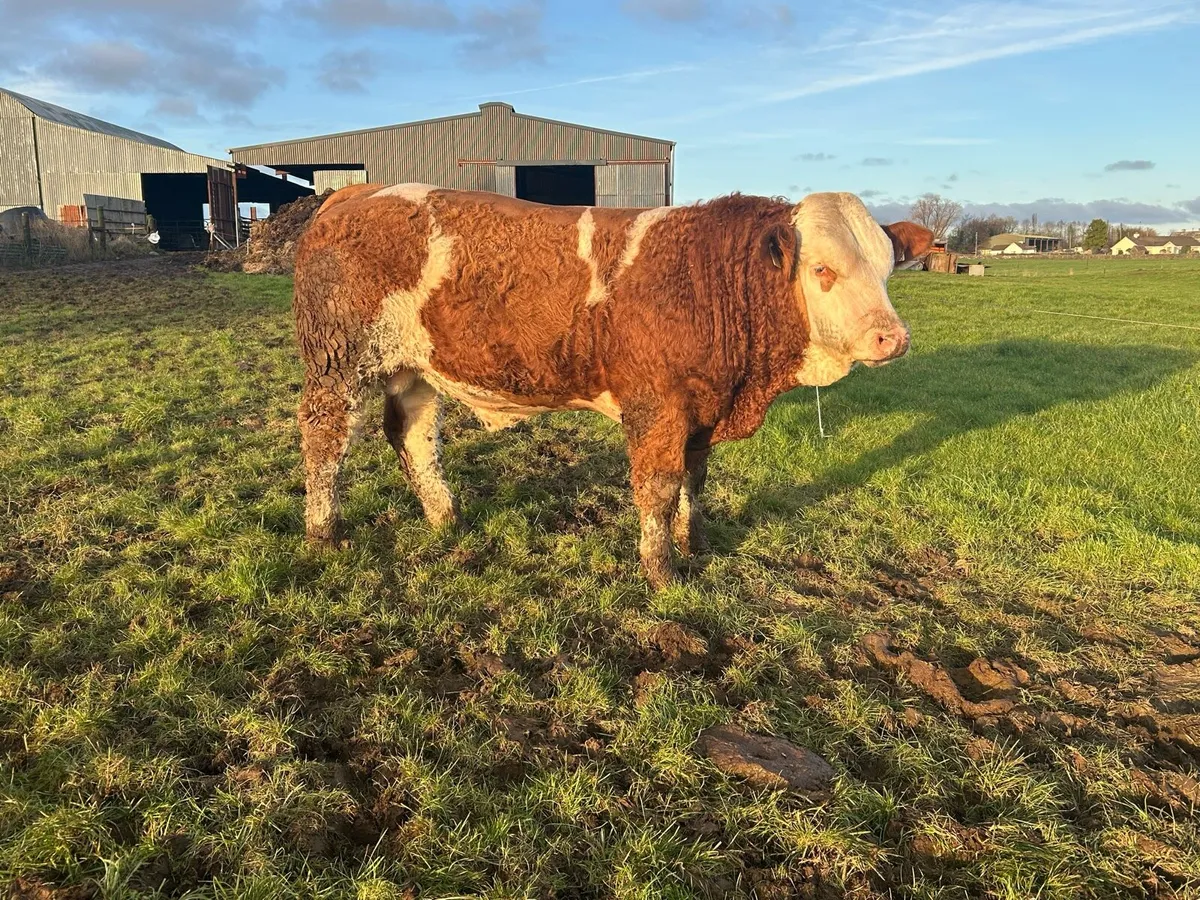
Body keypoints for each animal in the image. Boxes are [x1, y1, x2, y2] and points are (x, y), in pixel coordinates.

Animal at [293, 185, 933, 587]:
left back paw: (446, 518)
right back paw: (324, 533)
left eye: (887, 269)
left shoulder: (701, 409)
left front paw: (695, 543)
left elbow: (693, 481)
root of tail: (355, 193)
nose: (892, 338)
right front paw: (662, 571)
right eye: (823, 269)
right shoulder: (657, 405)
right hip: (338, 361)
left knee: (414, 435)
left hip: (416, 367)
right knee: (325, 439)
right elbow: (658, 487)